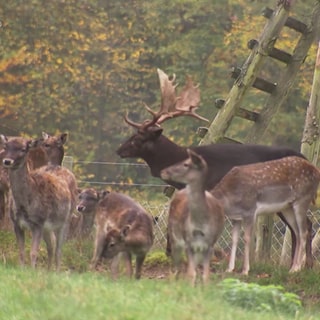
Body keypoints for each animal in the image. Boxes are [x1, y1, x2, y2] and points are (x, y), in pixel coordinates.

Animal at [0, 135, 72, 270]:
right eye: (6, 146)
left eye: (23, 149)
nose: (7, 161)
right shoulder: (17, 223)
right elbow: (22, 251)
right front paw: (22, 269)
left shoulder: (38, 223)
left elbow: (33, 252)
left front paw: (31, 270)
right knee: (52, 244)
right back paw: (49, 270)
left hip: (65, 221)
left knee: (58, 249)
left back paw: (56, 271)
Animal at [117, 69, 312, 268]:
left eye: (138, 137)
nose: (119, 150)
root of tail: (306, 159)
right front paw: (172, 251)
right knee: (299, 227)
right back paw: (296, 264)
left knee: (305, 226)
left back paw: (305, 264)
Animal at [160, 149, 225, 284]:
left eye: (186, 164)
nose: (163, 171)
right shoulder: (188, 243)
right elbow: (191, 274)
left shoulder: (210, 245)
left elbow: (206, 276)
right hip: (174, 240)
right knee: (177, 269)